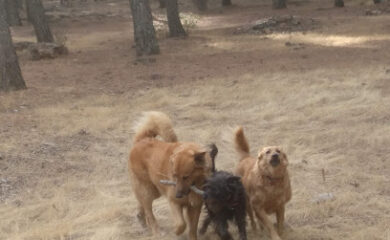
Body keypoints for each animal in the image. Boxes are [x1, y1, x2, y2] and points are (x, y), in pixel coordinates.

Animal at [128, 112, 213, 240]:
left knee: (141, 203)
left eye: (186, 177)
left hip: (155, 190)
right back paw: (157, 233)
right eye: (174, 175)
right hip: (148, 190)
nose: (178, 195)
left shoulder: (195, 206)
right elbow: (181, 224)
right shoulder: (173, 202)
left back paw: (140, 219)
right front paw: (176, 232)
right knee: (149, 214)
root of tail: (142, 140)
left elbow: (192, 229)